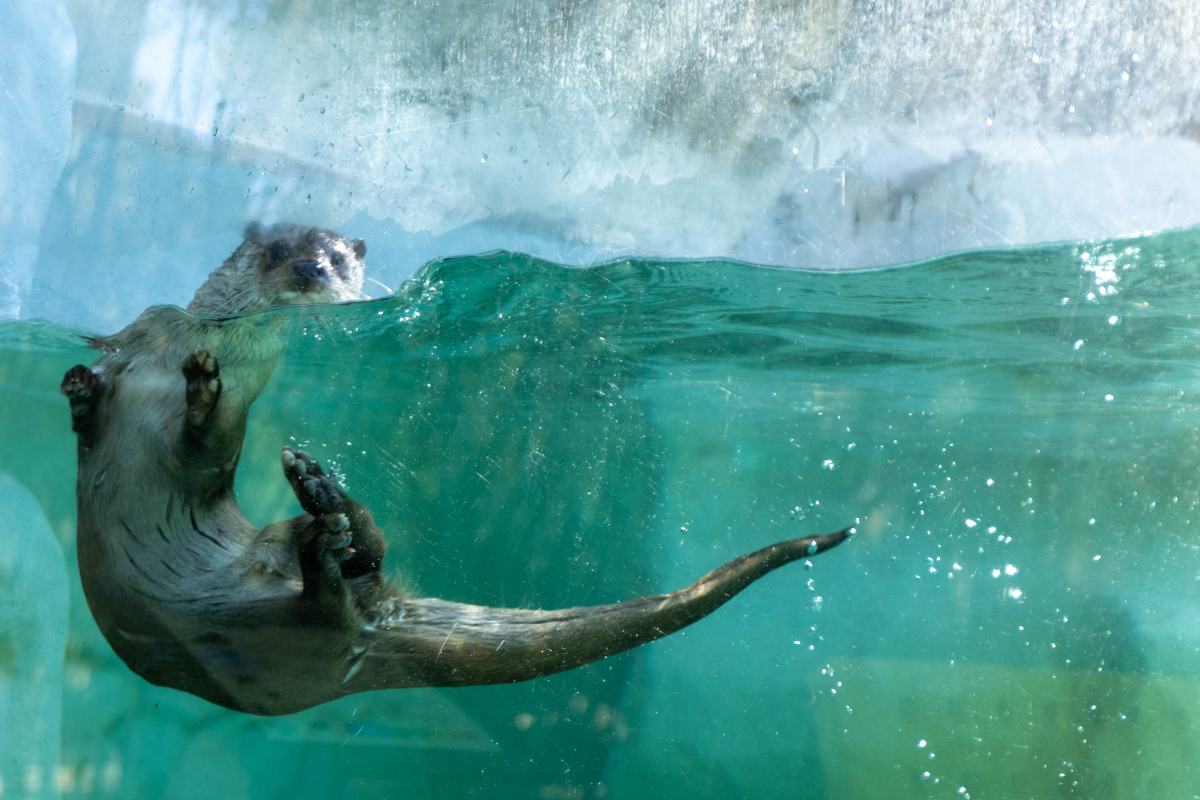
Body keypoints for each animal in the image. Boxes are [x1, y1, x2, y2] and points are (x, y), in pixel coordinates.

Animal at [58, 221, 854, 714]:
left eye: (340, 260)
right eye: (278, 247)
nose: (312, 271)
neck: (203, 338)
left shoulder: (229, 427)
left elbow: (207, 447)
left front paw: (201, 387)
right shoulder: (141, 339)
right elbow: (99, 398)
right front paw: (79, 388)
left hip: (285, 648)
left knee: (336, 598)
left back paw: (324, 520)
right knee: (361, 567)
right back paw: (325, 508)